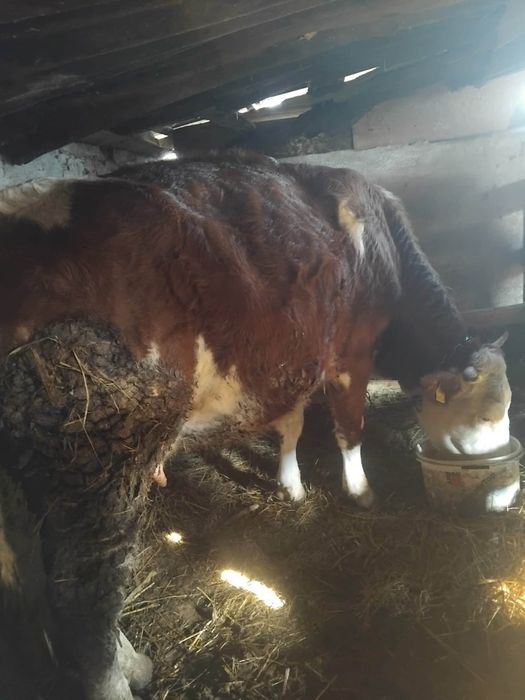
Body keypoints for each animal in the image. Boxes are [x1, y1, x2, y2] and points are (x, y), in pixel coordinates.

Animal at [0, 151, 511, 699]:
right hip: (97, 453)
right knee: (84, 597)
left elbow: (291, 425)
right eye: (488, 414)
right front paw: (360, 492)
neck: (383, 248)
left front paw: (291, 485)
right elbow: (348, 429)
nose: (505, 489)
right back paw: (122, 675)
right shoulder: (352, 354)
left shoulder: (293, 358)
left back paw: (129, 662)